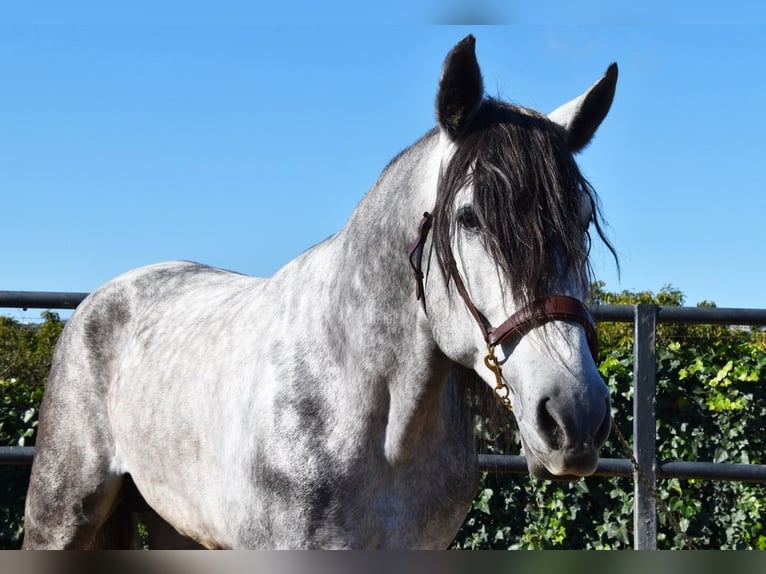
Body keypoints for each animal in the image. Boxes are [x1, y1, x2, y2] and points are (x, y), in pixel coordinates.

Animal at [24, 35, 620, 548]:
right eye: (469, 218)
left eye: (581, 220)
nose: (576, 416)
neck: (374, 423)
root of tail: (102, 298)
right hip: (60, 516)